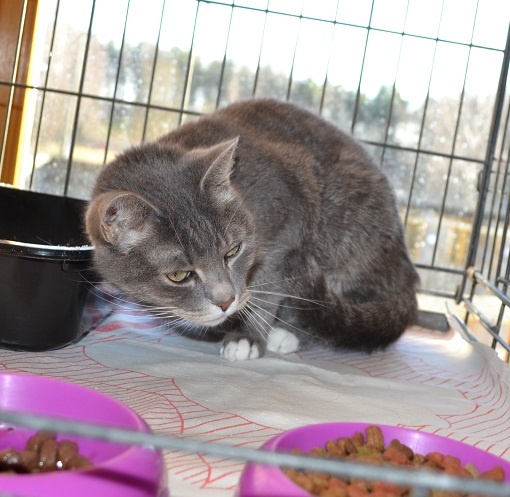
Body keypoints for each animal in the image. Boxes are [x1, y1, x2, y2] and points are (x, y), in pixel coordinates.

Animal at [85, 99, 419, 361]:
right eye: (179, 275)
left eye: (233, 251)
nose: (225, 302)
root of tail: (408, 275)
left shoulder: (286, 225)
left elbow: (267, 288)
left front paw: (247, 336)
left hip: (346, 223)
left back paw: (287, 334)